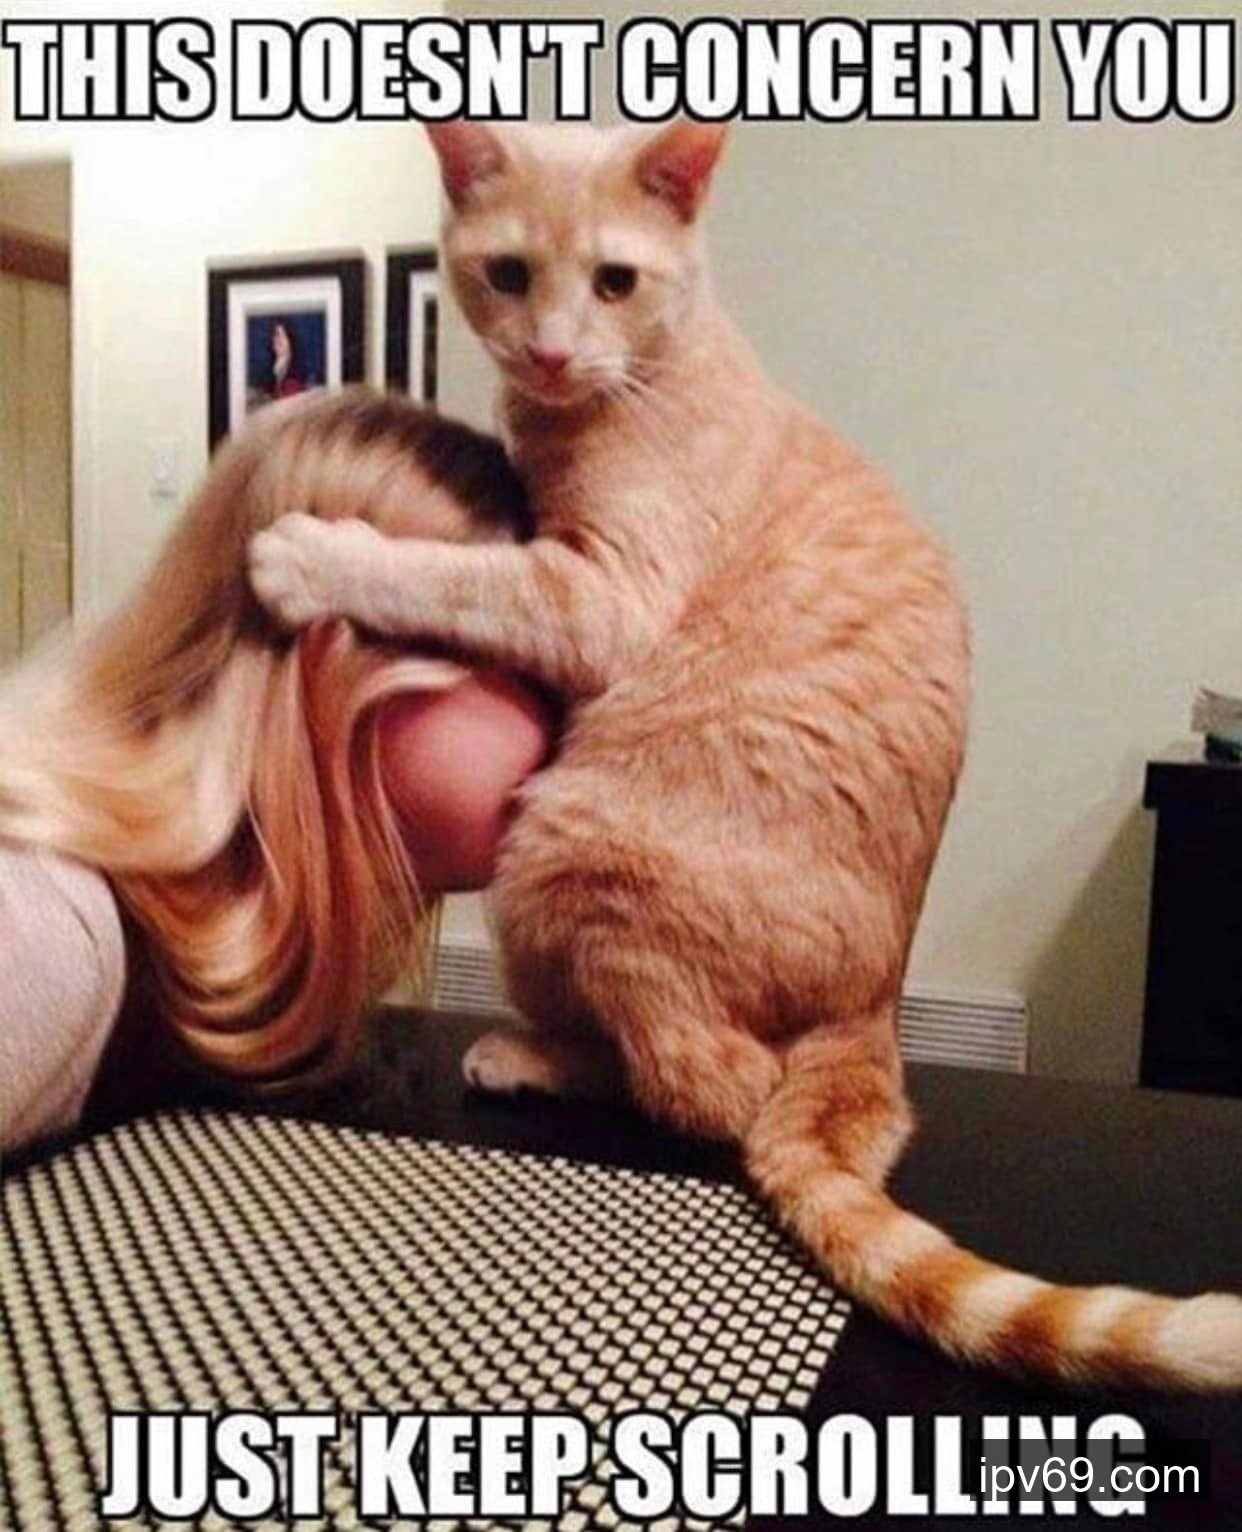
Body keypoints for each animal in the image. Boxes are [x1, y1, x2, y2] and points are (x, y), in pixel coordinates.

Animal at [249, 120, 1241, 1390]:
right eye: (511, 274)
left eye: (614, 281)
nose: (554, 349)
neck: (648, 379)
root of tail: (877, 1004)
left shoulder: (600, 598)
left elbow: (447, 576)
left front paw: (315, 555)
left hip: (557, 853)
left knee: (710, 1085)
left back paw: (529, 1057)